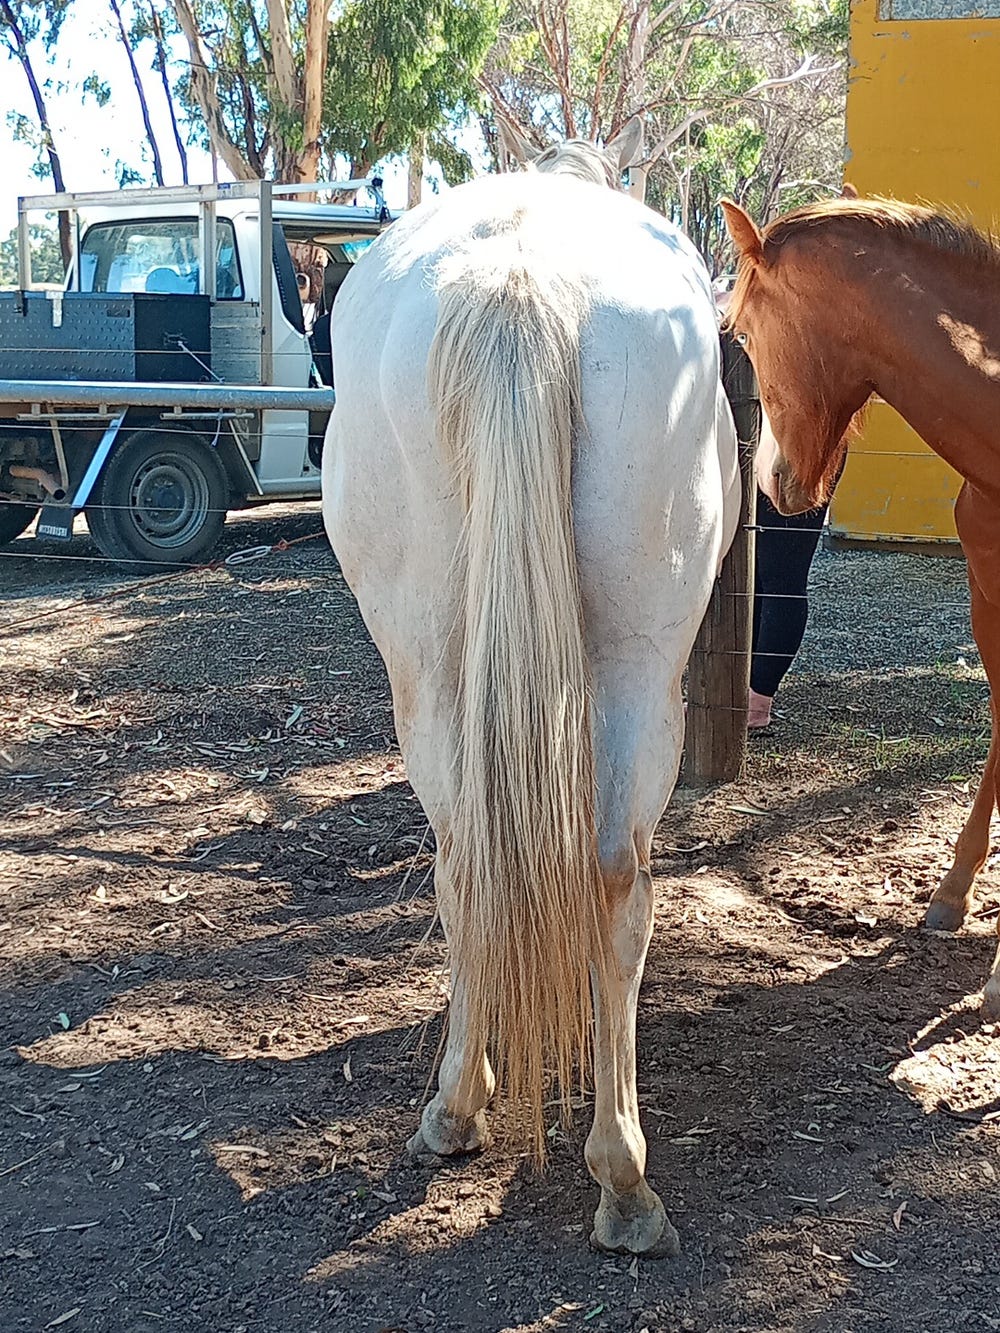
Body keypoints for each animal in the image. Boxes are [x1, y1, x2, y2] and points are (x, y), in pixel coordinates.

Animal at [322, 117, 740, 1255]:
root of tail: (520, 277)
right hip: (643, 666)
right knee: (607, 878)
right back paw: (616, 1173)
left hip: (432, 668)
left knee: (475, 859)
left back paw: (473, 1113)